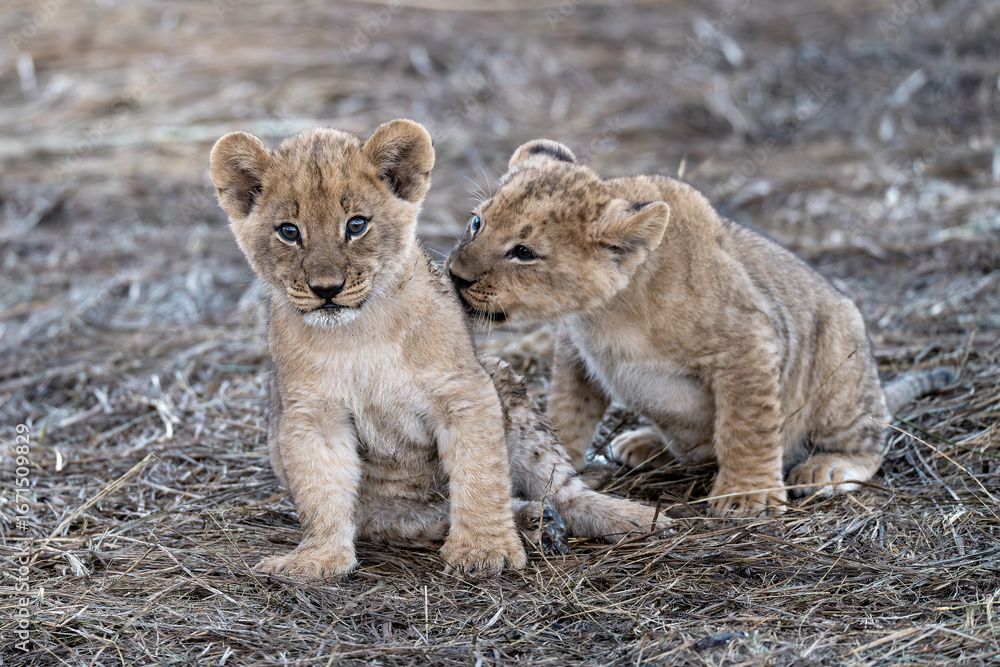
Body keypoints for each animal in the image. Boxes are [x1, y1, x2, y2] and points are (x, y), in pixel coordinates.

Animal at [209, 122, 667, 579]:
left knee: (562, 488)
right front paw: (317, 559)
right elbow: (320, 490)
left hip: (505, 383)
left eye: (356, 225)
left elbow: (480, 474)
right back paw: (535, 523)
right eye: (289, 231)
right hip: (394, 519)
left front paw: (484, 549)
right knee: (436, 517)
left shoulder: (465, 391)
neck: (359, 332)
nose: (327, 289)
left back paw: (632, 519)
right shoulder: (312, 414)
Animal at [445, 139, 955, 518]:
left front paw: (747, 495)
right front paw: (559, 467)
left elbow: (747, 424)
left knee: (868, 438)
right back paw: (643, 443)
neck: (610, 311)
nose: (455, 275)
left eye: (524, 252)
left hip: (841, 360)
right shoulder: (575, 350)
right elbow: (568, 412)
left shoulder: (748, 342)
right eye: (477, 222)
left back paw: (827, 467)